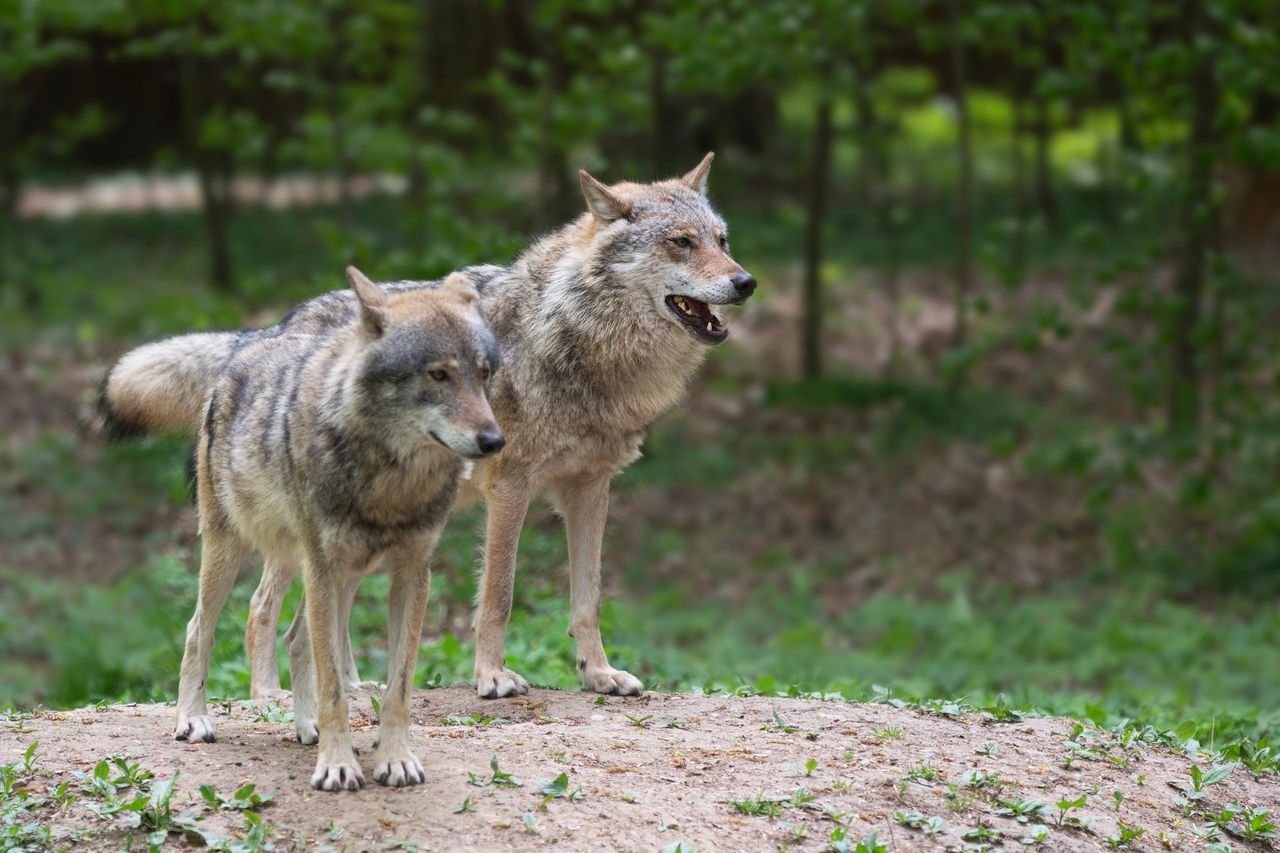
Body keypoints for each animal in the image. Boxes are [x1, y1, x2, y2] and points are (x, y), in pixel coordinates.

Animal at [107, 268, 501, 788]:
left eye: (484, 373)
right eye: (438, 374)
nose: (494, 440)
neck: (390, 483)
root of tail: (256, 337)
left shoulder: (412, 574)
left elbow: (397, 687)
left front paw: (394, 758)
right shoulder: (323, 568)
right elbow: (333, 684)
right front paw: (337, 765)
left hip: (343, 573)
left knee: (295, 639)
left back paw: (305, 725)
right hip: (237, 550)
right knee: (200, 628)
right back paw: (193, 718)